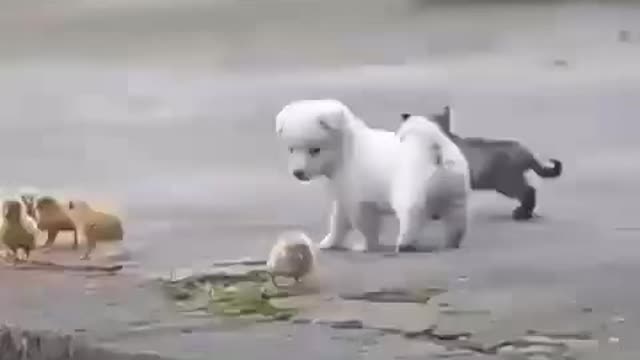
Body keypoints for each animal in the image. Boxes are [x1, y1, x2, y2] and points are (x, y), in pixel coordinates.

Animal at [276, 100, 470, 252]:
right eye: (291, 149)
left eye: (315, 150)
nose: (298, 173)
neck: (346, 152)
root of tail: (435, 149)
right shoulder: (344, 197)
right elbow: (338, 222)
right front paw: (329, 243)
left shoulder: (359, 200)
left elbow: (364, 226)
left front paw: (366, 246)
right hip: (456, 195)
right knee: (456, 221)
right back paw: (451, 242)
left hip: (409, 191)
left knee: (411, 216)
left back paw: (405, 243)